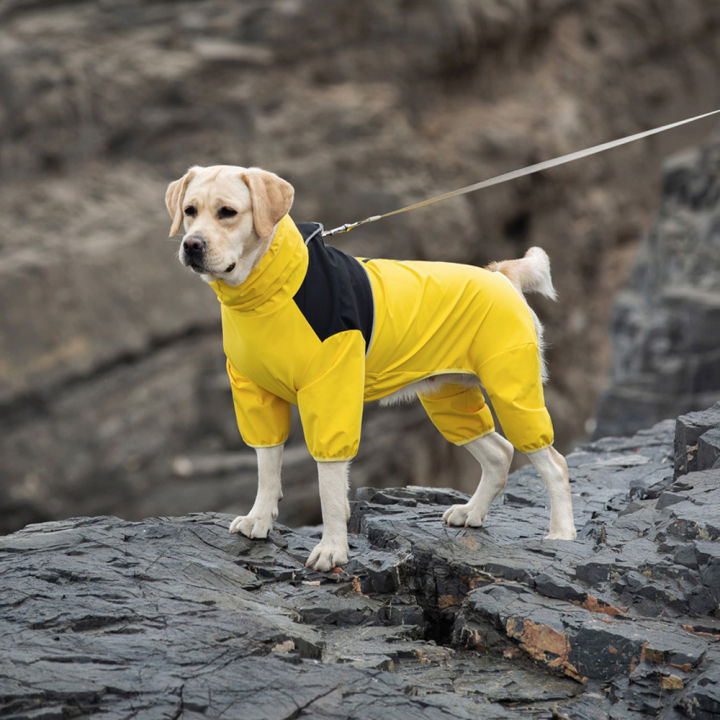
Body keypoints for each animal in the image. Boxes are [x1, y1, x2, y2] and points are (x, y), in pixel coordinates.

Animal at [166, 166, 576, 572]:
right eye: (189, 211)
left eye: (228, 212)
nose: (192, 245)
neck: (268, 293)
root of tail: (500, 274)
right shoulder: (255, 394)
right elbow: (267, 467)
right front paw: (260, 520)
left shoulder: (331, 394)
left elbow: (329, 486)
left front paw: (332, 549)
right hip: (449, 398)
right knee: (499, 452)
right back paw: (471, 512)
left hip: (512, 391)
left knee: (554, 463)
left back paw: (561, 534)